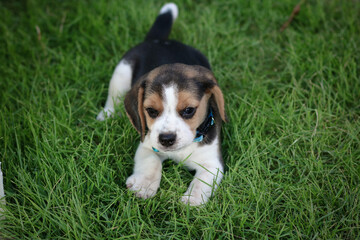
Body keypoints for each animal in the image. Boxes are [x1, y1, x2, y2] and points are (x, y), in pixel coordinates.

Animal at [97, 2, 226, 206]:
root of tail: (158, 40)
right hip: (121, 72)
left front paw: (192, 200)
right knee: (113, 96)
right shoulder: (146, 145)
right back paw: (107, 114)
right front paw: (144, 186)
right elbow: (152, 163)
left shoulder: (212, 163)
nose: (166, 139)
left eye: (189, 110)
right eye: (151, 110)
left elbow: (202, 182)